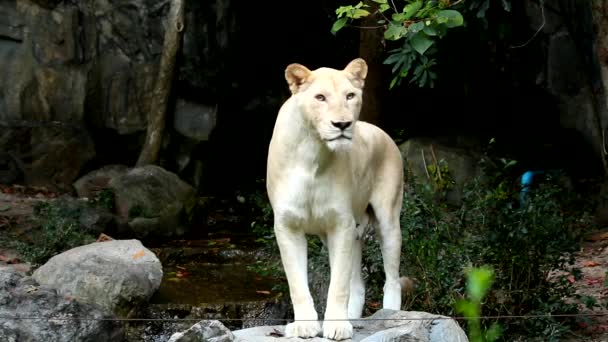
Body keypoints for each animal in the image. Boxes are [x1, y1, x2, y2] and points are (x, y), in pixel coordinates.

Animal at [268, 57, 406, 338]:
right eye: (320, 97)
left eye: (350, 96)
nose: (342, 125)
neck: (312, 152)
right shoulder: (288, 226)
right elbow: (297, 283)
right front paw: (305, 326)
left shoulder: (340, 224)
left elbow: (338, 284)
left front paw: (337, 326)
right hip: (350, 232)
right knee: (358, 284)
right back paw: (353, 316)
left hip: (388, 220)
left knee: (392, 278)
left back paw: (389, 315)